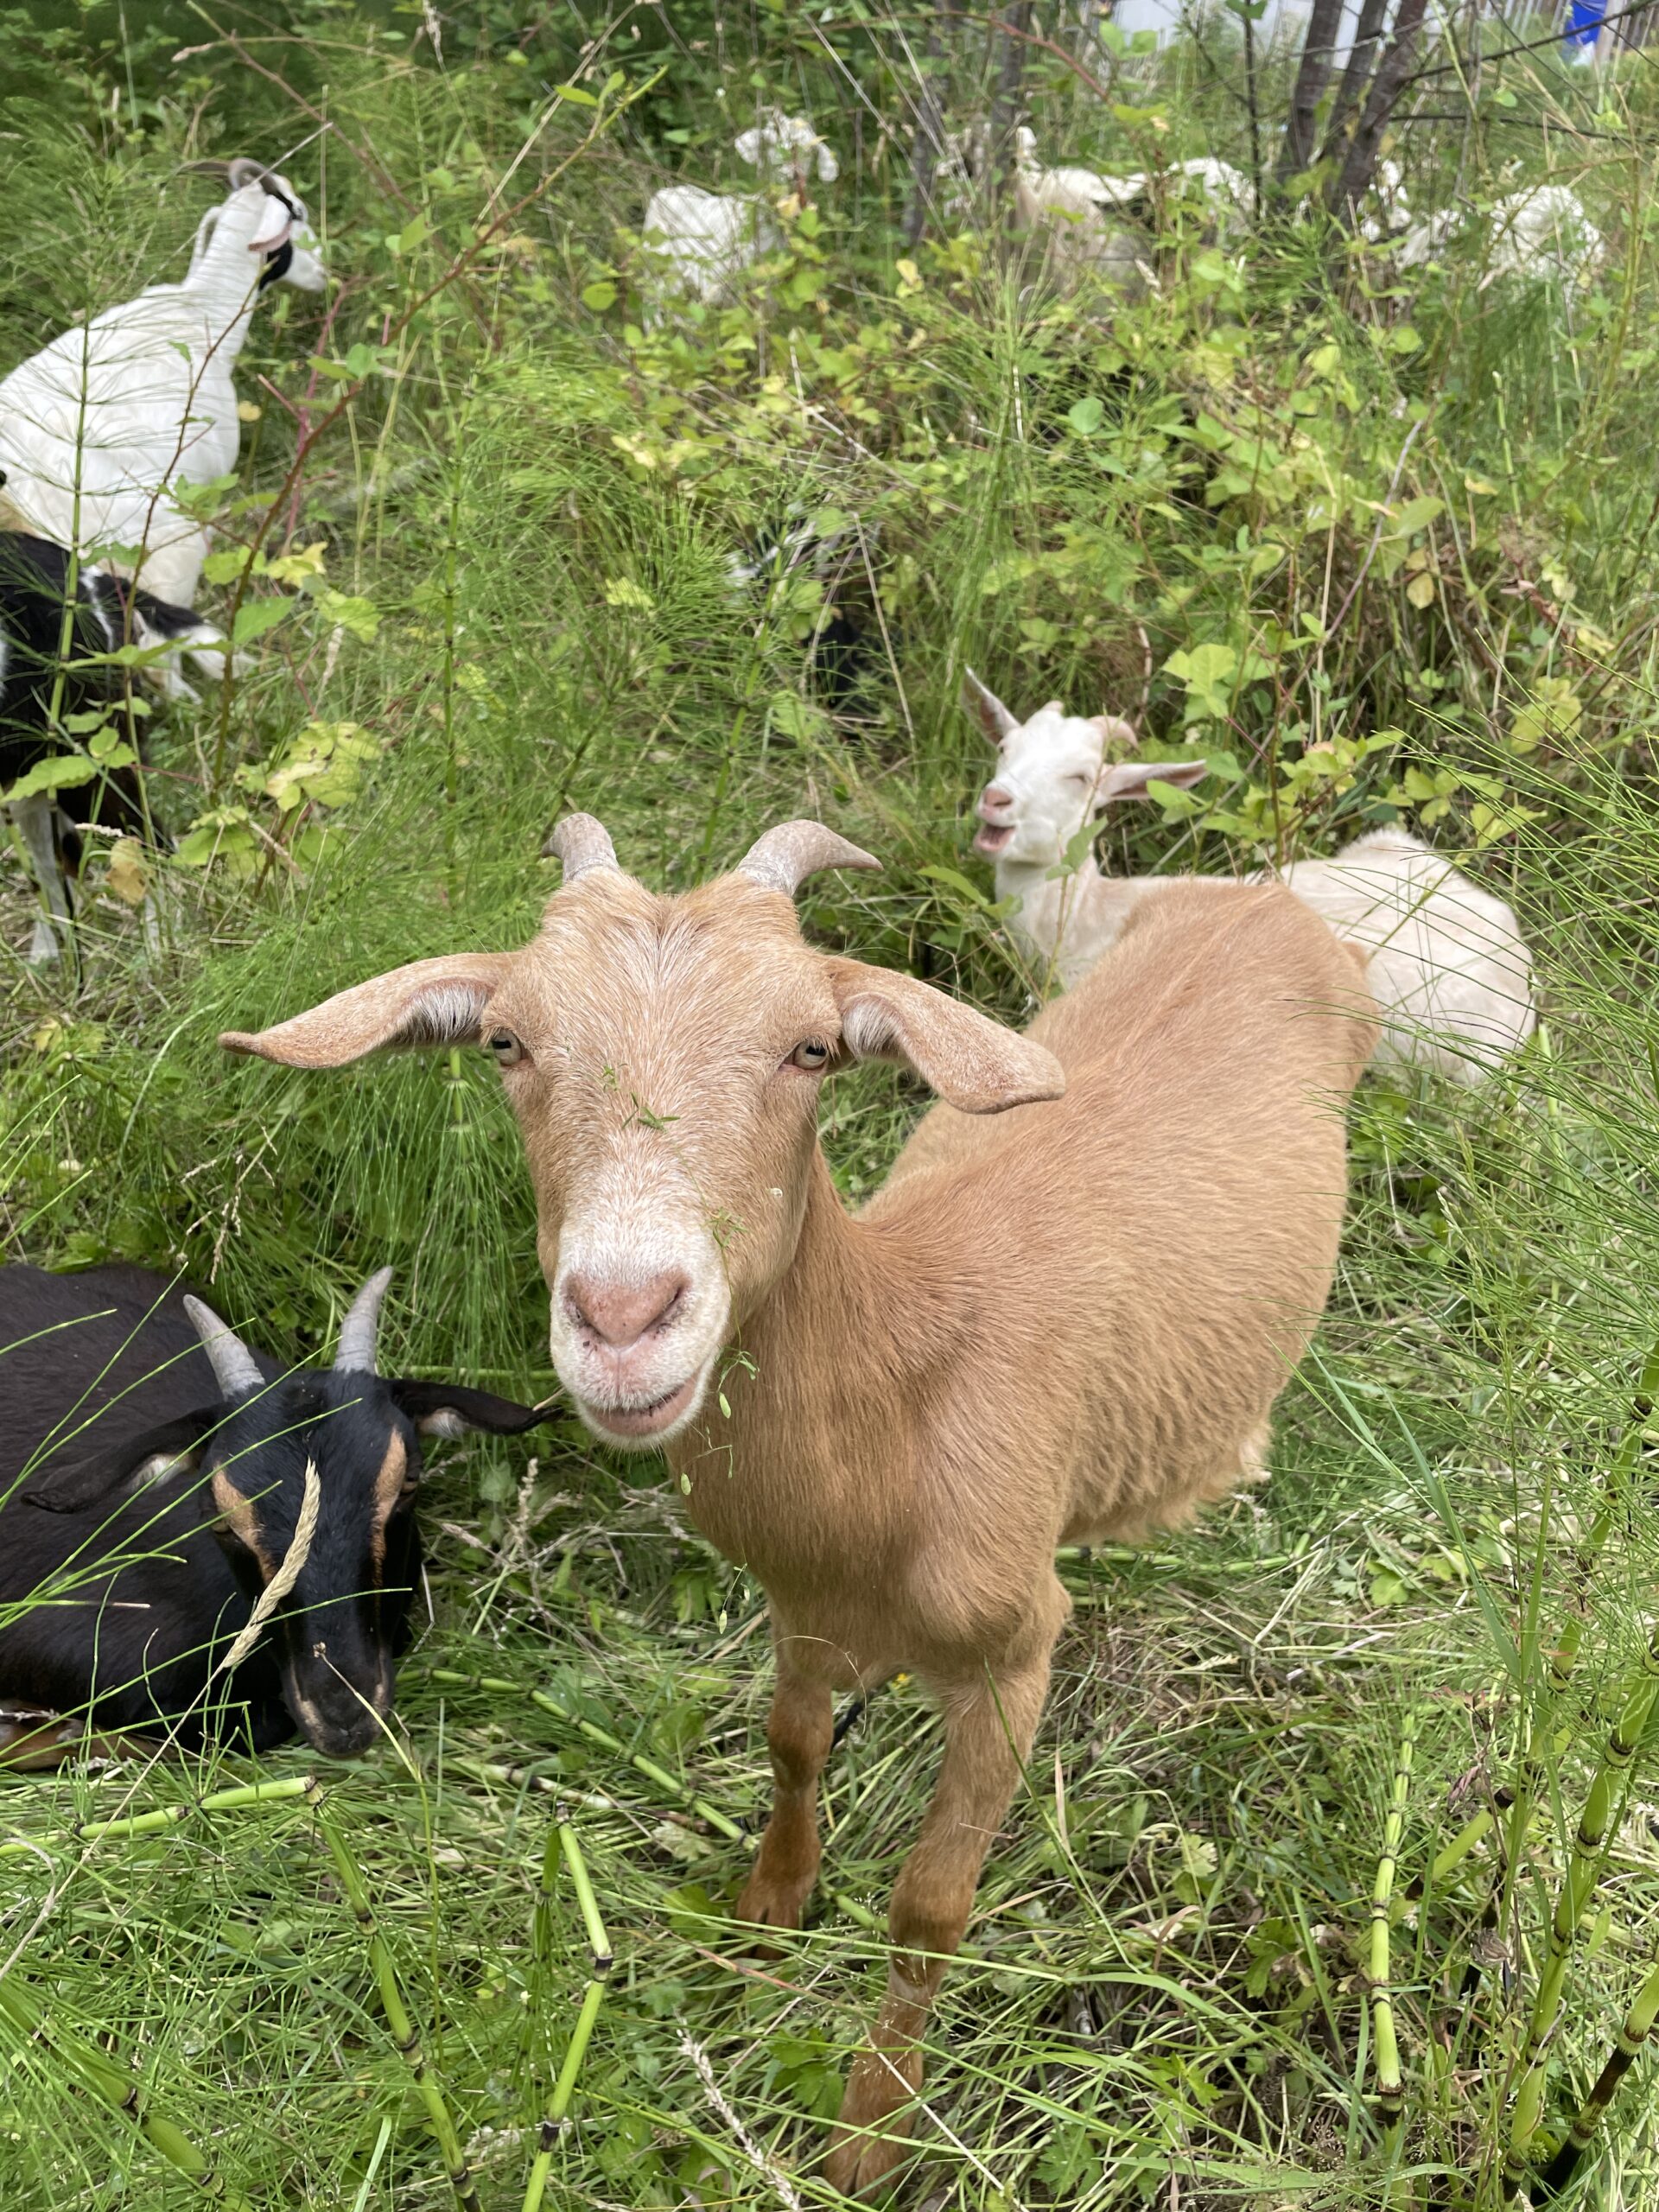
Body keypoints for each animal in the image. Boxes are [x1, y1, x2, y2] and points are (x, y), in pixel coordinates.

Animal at [1, 528, 217, 963]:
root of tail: (93, 580)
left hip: (95, 763)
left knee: (151, 841)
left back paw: (160, 949)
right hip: (36, 778)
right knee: (58, 864)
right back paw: (54, 958)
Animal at [219, 812, 1378, 2189]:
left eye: (811, 1046)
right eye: (506, 1041)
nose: (624, 1319)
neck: (911, 1388)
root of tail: (1273, 895)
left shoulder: (1018, 1651)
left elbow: (930, 1905)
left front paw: (873, 2131)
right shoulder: (797, 1601)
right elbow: (791, 1742)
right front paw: (771, 1908)